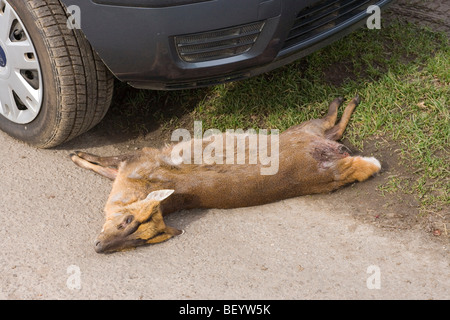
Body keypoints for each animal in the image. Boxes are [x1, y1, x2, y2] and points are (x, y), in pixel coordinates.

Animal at [71, 95, 380, 252]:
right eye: (137, 241)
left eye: (132, 229)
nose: (98, 247)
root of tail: (331, 167)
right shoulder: (131, 168)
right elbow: (106, 167)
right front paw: (77, 157)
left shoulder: (138, 159)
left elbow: (106, 160)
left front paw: (77, 155)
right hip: (314, 134)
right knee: (336, 129)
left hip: (305, 129)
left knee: (331, 121)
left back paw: (347, 99)